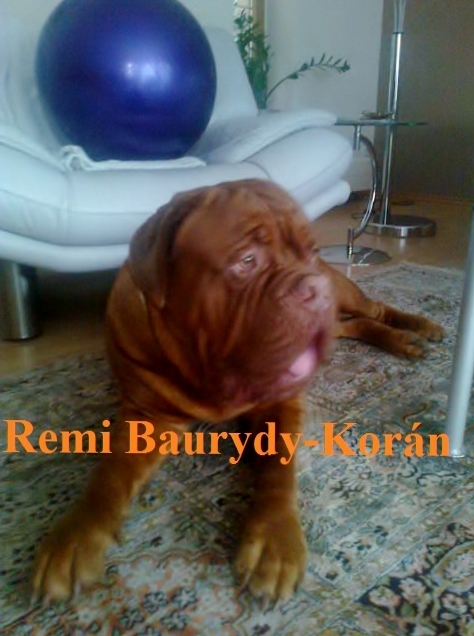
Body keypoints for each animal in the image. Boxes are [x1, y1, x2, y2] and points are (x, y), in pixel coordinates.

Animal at [32, 179, 444, 603]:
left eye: (311, 251)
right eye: (247, 261)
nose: (314, 284)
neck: (207, 370)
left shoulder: (280, 405)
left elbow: (279, 467)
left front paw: (274, 538)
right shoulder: (145, 417)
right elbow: (107, 477)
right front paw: (75, 536)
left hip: (345, 290)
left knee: (374, 308)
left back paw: (417, 329)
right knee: (357, 324)